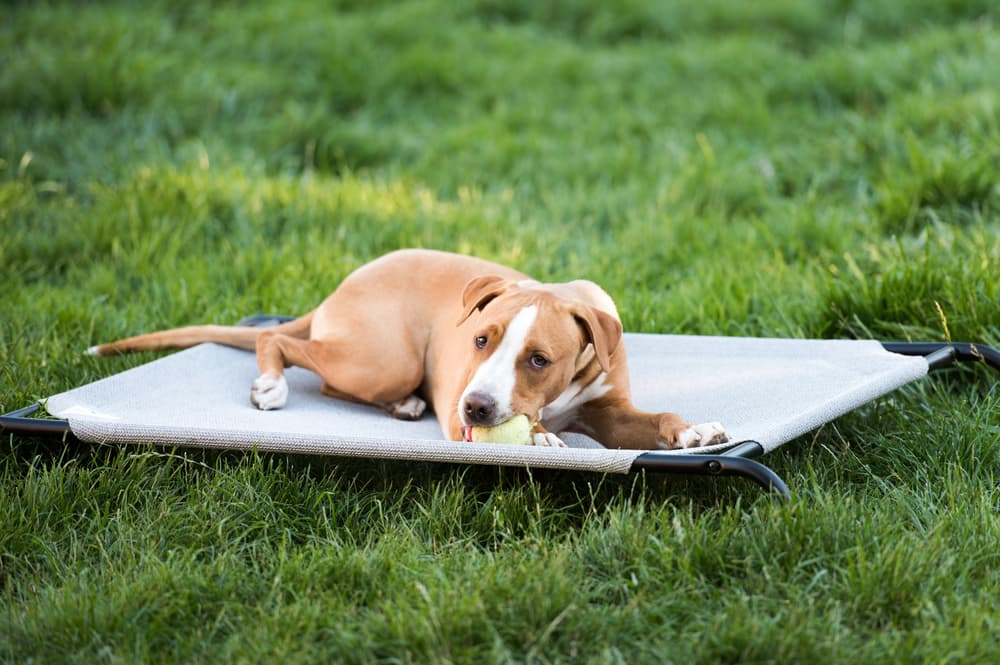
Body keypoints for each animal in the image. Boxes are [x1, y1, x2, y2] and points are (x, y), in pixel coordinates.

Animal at [88, 250, 728, 452]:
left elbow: (656, 418)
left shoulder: (610, 411)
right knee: (283, 342)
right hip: (383, 361)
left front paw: (692, 431)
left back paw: (404, 408)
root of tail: (340, 287)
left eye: (539, 360)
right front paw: (542, 437)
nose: (474, 408)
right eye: (480, 340)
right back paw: (271, 383)